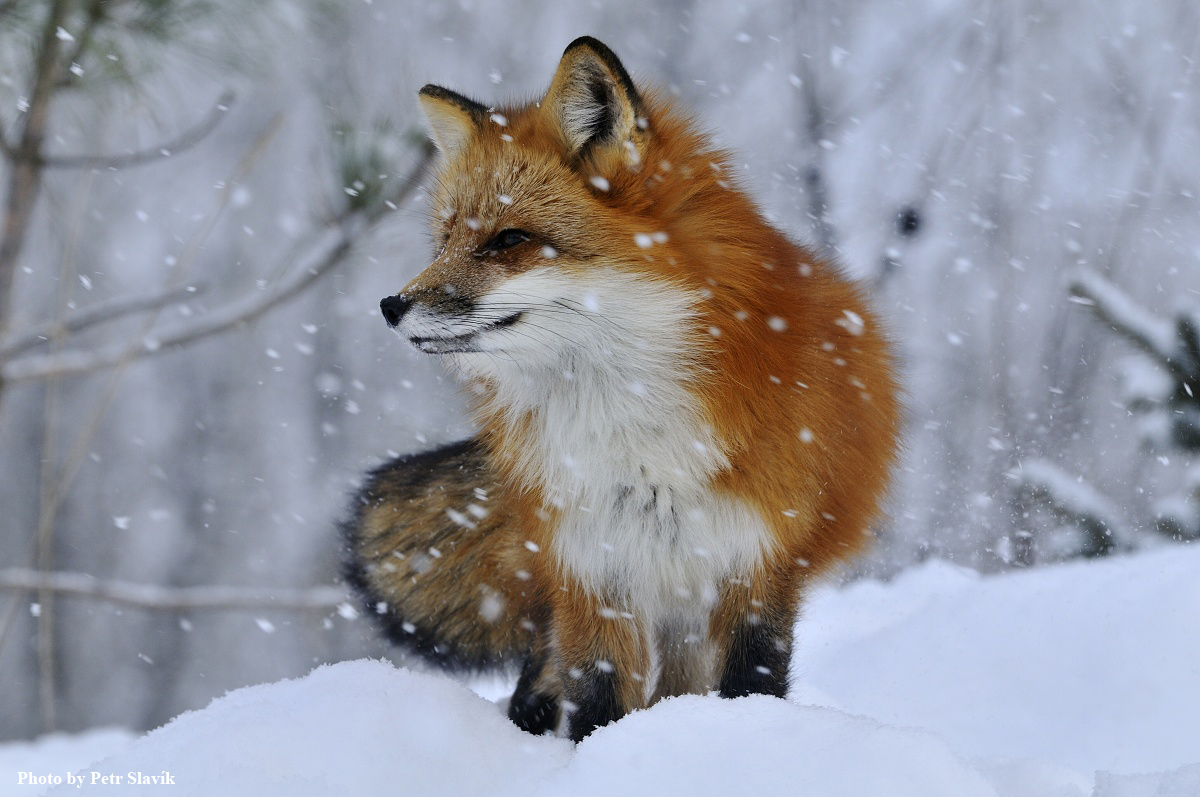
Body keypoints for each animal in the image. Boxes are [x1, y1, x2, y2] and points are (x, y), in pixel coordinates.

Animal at [342, 36, 901, 742]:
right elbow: (598, 701)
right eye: (445, 241)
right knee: (540, 683)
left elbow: (750, 686)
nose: (390, 307)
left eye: (509, 239)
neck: (630, 432)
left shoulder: (755, 568)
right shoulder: (593, 572)